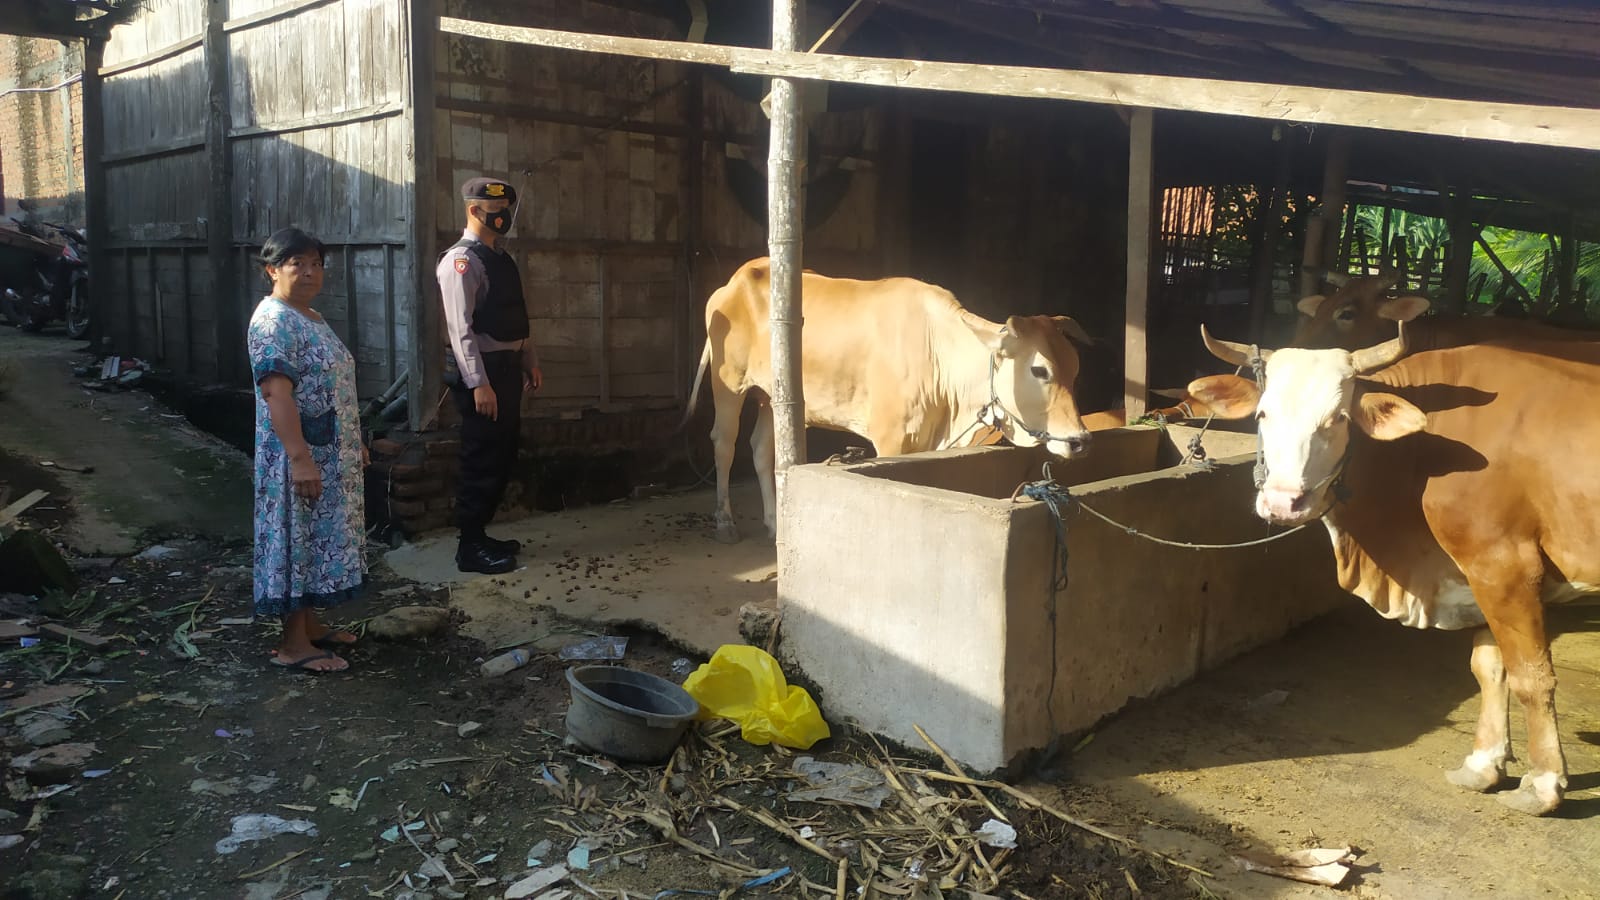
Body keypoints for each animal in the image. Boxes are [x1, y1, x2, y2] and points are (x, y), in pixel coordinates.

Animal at [684, 259, 1095, 543]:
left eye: (1076, 368)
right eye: (1040, 370)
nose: (1080, 440)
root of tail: (734, 281)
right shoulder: (890, 439)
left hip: (773, 397)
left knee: (759, 449)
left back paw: (774, 523)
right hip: (729, 383)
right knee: (724, 443)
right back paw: (725, 522)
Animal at [1186, 322, 1600, 815]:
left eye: (1338, 419)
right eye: (1263, 414)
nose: (1283, 502)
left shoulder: (1504, 565)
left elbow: (1530, 677)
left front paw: (1543, 785)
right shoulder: (1478, 570)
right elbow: (1489, 667)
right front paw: (1482, 765)